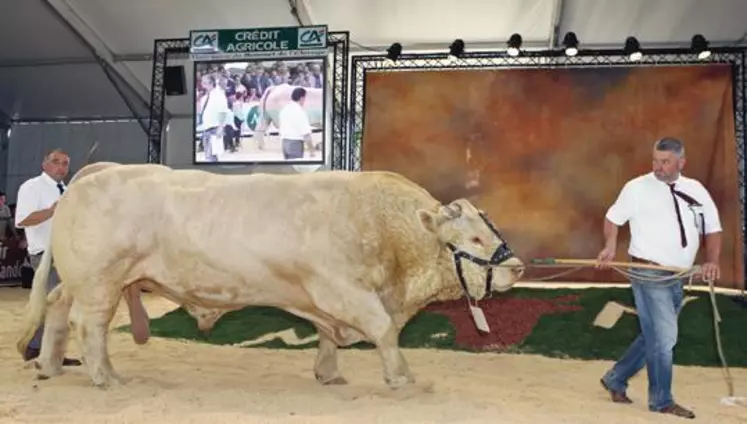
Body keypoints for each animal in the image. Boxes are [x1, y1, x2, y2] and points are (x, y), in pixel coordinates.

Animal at [14, 165, 524, 388]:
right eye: (474, 238)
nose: (517, 267)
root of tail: (93, 174)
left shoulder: (325, 300)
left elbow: (328, 337)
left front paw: (327, 374)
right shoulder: (341, 289)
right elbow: (381, 329)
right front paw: (401, 377)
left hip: (85, 281)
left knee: (57, 308)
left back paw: (50, 365)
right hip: (101, 282)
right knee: (90, 326)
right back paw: (106, 377)